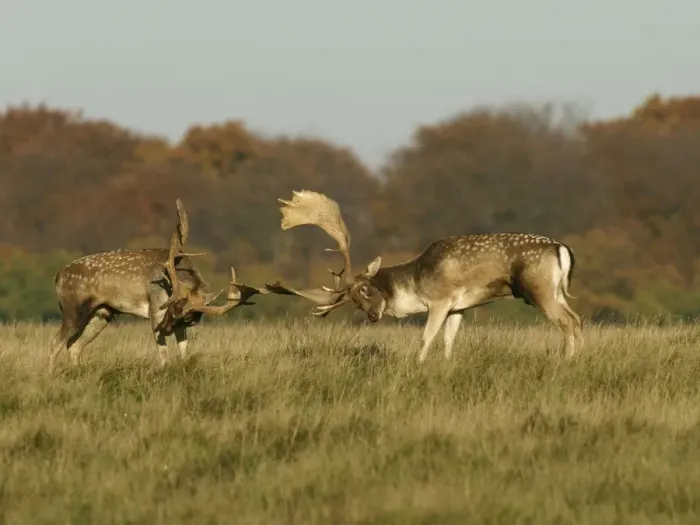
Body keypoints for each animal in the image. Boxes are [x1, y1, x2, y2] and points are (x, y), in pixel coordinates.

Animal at [48, 199, 268, 372]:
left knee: (74, 346)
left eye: (187, 316)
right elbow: (163, 355)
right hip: (73, 309)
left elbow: (184, 352)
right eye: (170, 306)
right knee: (55, 343)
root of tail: (58, 276)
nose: (164, 328)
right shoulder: (155, 309)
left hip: (102, 313)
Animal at [263, 190, 583, 362]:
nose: (373, 316)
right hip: (555, 290)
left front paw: (416, 364)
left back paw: (564, 362)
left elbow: (426, 338)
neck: (415, 284)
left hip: (538, 289)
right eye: (352, 300)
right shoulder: (459, 307)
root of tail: (562, 249)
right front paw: (447, 365)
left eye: (365, 289)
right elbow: (449, 340)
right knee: (577, 319)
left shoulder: (441, 300)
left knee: (567, 323)